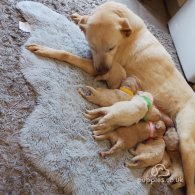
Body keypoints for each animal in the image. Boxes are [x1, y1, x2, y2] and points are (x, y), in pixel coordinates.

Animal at [26, 1, 195, 195]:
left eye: (111, 48)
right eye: (92, 46)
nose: (101, 71)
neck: (128, 31)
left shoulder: (94, 64)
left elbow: (66, 54)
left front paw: (45, 49)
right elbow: (84, 20)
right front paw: (79, 17)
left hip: (187, 144)